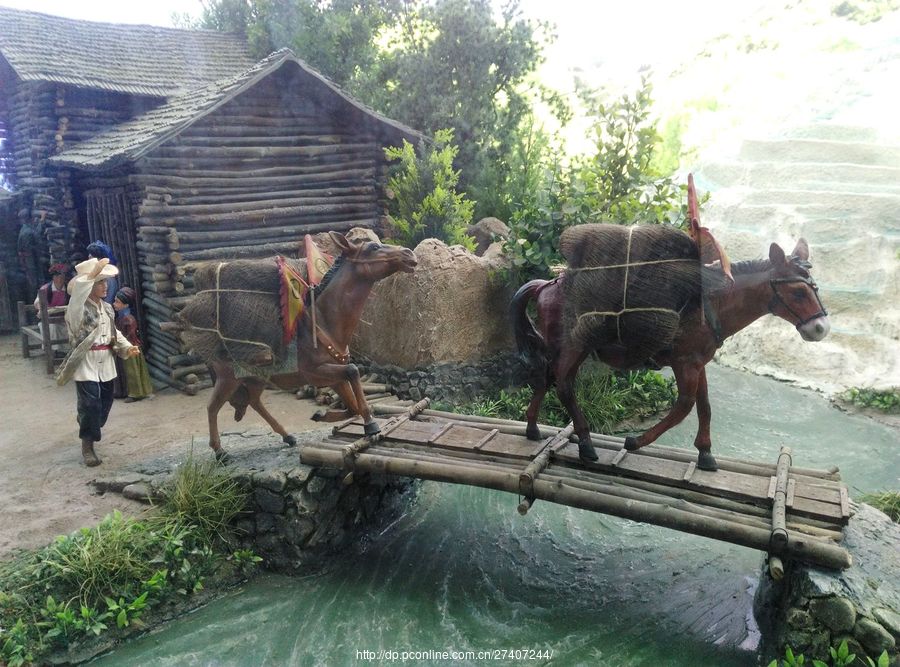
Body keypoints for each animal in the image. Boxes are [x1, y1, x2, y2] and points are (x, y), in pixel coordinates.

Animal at [197, 232, 414, 462]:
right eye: (373, 247)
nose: (409, 254)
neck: (324, 321)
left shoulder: (335, 377)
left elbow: (352, 405)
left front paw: (322, 415)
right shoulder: (316, 373)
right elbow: (353, 371)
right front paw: (370, 424)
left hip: (257, 378)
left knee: (255, 401)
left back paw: (287, 436)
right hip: (228, 378)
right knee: (212, 407)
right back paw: (220, 451)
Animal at [512, 227, 828, 472]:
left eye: (815, 288)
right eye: (798, 292)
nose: (820, 328)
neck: (710, 305)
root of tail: (548, 284)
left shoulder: (698, 363)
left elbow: (704, 406)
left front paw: (706, 454)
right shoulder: (684, 362)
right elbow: (684, 406)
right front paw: (636, 441)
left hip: (558, 347)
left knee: (546, 378)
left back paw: (533, 427)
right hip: (574, 347)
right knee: (564, 384)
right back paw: (587, 443)